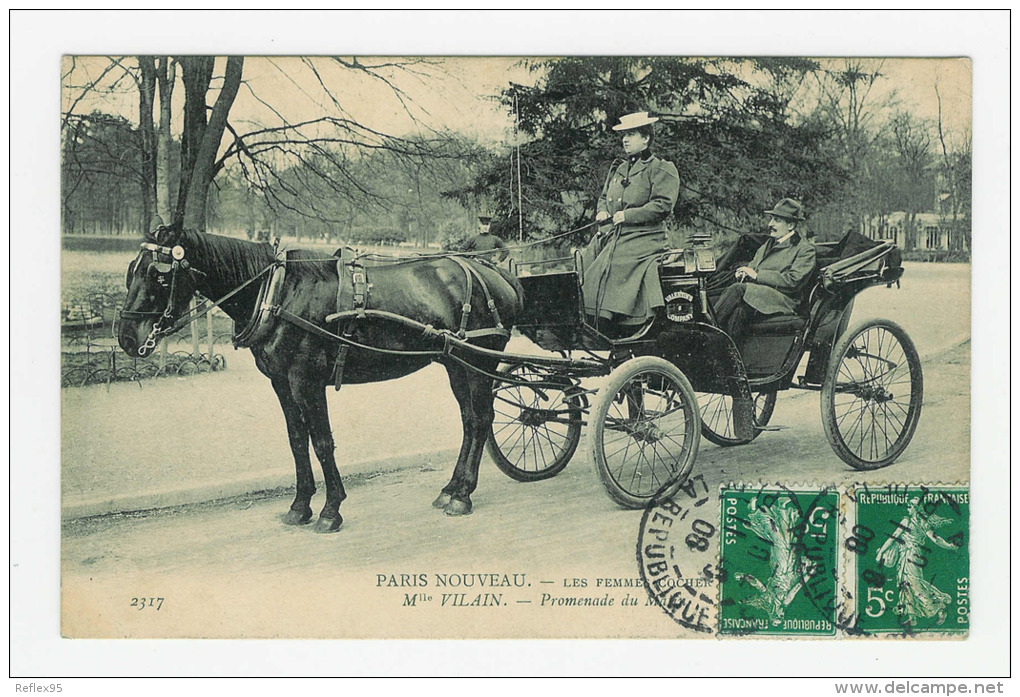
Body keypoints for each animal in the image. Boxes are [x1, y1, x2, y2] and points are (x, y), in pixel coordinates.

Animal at [115, 224, 522, 534]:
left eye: (158, 274)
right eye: (131, 269)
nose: (127, 337)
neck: (279, 291)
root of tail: (497, 273)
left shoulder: (306, 381)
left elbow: (323, 442)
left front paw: (330, 510)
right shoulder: (281, 383)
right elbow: (297, 441)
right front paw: (299, 505)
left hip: (478, 361)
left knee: (481, 419)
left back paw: (464, 495)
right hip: (456, 363)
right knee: (469, 421)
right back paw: (452, 488)